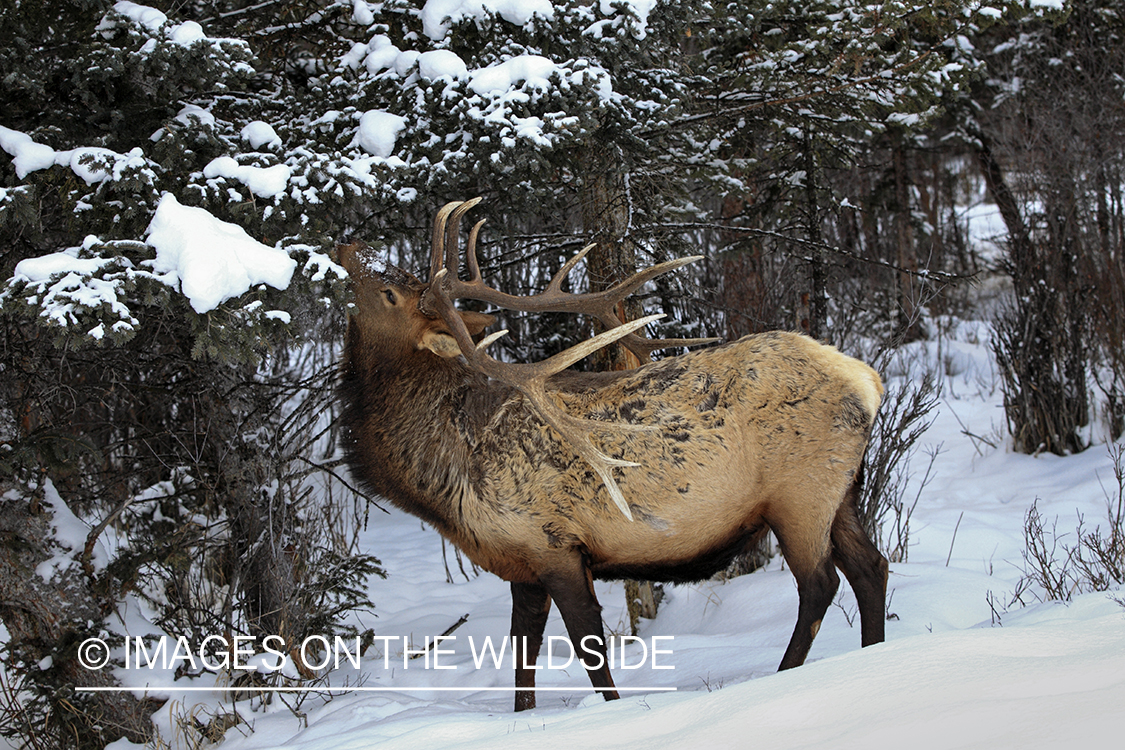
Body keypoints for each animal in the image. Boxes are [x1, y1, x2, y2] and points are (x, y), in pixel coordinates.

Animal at [335, 197, 886, 710]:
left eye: (390, 293)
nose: (348, 244)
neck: (446, 475)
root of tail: (867, 379)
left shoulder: (553, 542)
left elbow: (588, 642)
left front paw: (613, 709)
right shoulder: (520, 562)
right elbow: (522, 649)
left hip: (800, 492)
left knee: (820, 583)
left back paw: (785, 674)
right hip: (842, 491)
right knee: (870, 568)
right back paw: (873, 653)